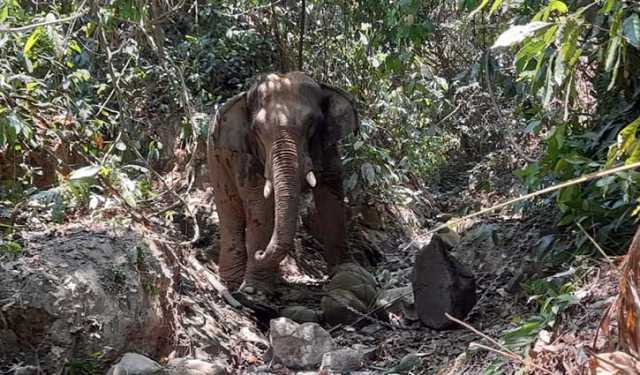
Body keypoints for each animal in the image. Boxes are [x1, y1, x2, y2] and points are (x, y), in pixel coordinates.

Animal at [208, 72, 358, 296]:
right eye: (257, 131)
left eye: (312, 124)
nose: (259, 253)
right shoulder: (248, 156)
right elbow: (260, 205)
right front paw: (254, 291)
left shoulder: (328, 148)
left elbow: (331, 195)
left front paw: (345, 272)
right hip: (215, 157)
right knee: (229, 212)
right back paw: (231, 283)